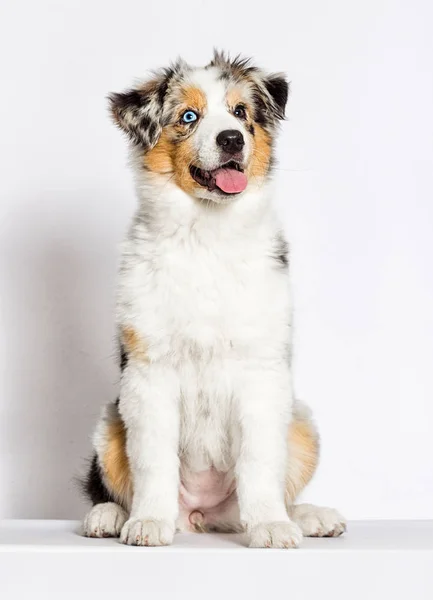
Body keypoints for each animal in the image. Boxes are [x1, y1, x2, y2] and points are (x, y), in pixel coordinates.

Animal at [80, 52, 344, 548]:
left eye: (240, 112)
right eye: (189, 117)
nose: (231, 139)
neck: (206, 233)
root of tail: (203, 517)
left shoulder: (261, 368)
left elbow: (259, 461)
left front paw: (271, 526)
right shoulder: (149, 371)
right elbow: (153, 460)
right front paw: (149, 522)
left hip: (301, 423)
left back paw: (308, 516)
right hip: (109, 423)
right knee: (112, 484)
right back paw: (110, 516)